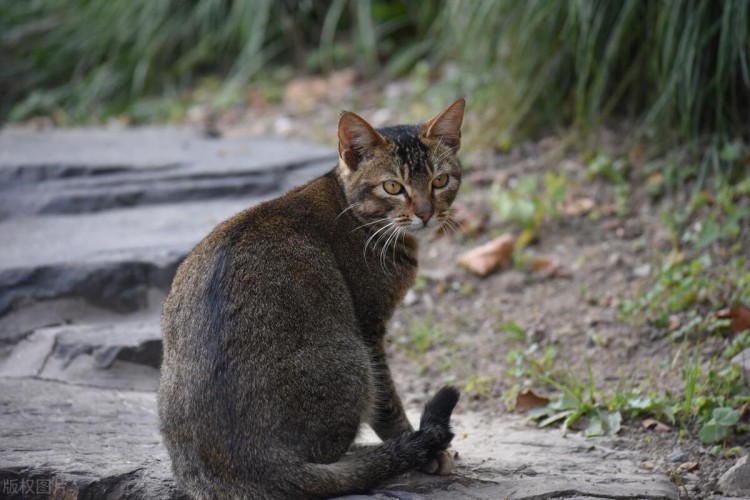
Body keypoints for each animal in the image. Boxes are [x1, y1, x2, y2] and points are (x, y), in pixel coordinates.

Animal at [157, 97, 464, 500]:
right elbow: (388, 405)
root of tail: (249, 463)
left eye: (439, 180)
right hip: (354, 361)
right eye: (393, 187)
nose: (426, 214)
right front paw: (418, 446)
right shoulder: (370, 329)